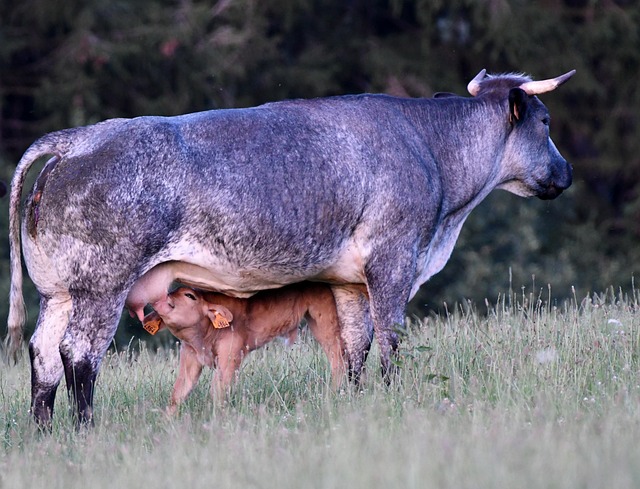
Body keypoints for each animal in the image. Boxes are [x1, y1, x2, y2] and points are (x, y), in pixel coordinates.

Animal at [143, 282, 348, 412]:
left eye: (189, 295)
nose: (163, 297)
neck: (203, 339)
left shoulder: (230, 357)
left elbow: (217, 391)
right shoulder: (190, 357)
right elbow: (178, 393)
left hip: (325, 320)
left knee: (338, 360)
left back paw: (332, 395)